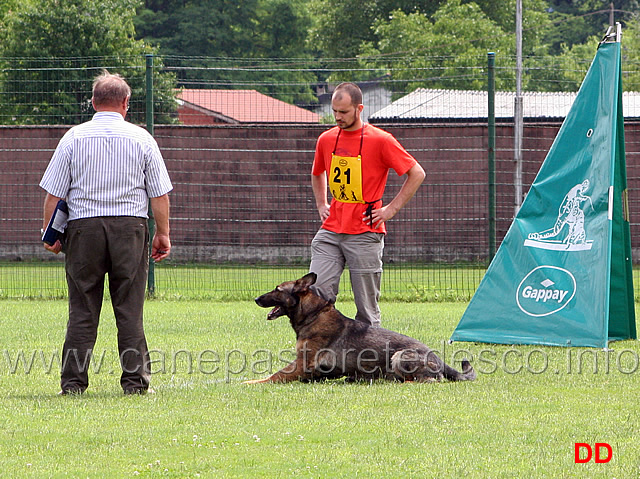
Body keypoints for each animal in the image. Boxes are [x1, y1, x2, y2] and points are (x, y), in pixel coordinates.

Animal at [245, 276, 476, 384]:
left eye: (277, 289)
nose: (255, 299)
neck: (313, 314)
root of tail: (439, 359)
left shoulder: (301, 363)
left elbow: (272, 376)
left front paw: (251, 382)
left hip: (400, 356)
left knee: (426, 381)